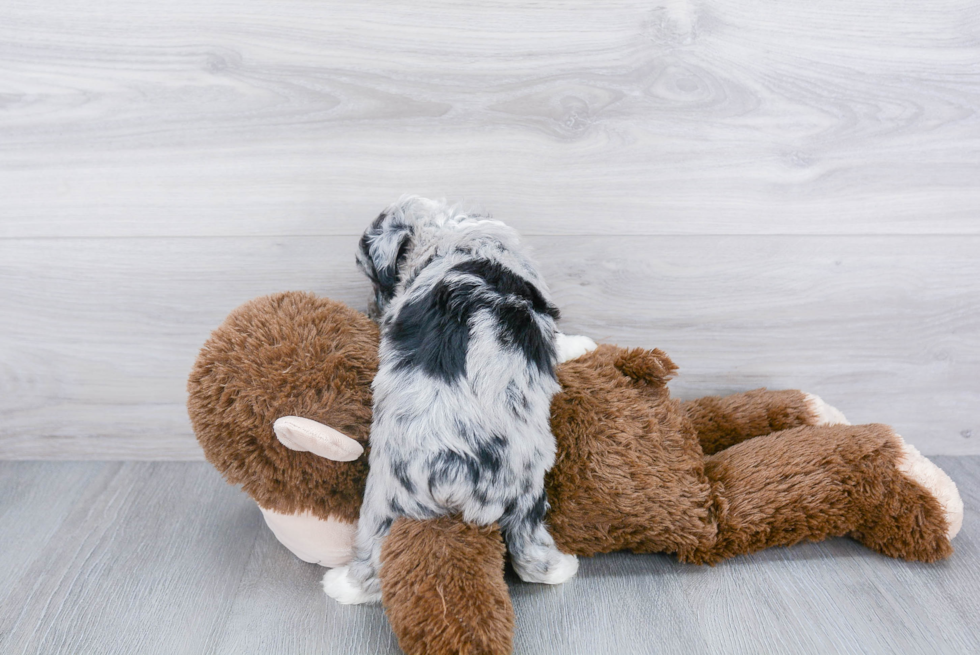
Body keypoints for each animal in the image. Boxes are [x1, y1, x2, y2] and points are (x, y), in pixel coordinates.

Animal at [322, 196, 580, 604]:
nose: (371, 313)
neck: (448, 234)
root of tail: (451, 464)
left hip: (389, 501)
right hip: (520, 492)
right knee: (530, 552)